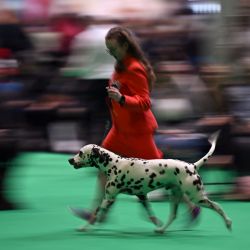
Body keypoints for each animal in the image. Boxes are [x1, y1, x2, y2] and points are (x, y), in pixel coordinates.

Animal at [69, 132, 232, 233]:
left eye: (80, 153)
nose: (70, 160)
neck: (113, 164)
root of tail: (192, 166)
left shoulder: (107, 199)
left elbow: (94, 215)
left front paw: (83, 227)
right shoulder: (142, 196)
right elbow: (150, 213)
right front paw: (156, 222)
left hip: (197, 197)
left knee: (218, 206)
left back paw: (228, 223)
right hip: (175, 196)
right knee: (173, 216)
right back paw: (161, 229)